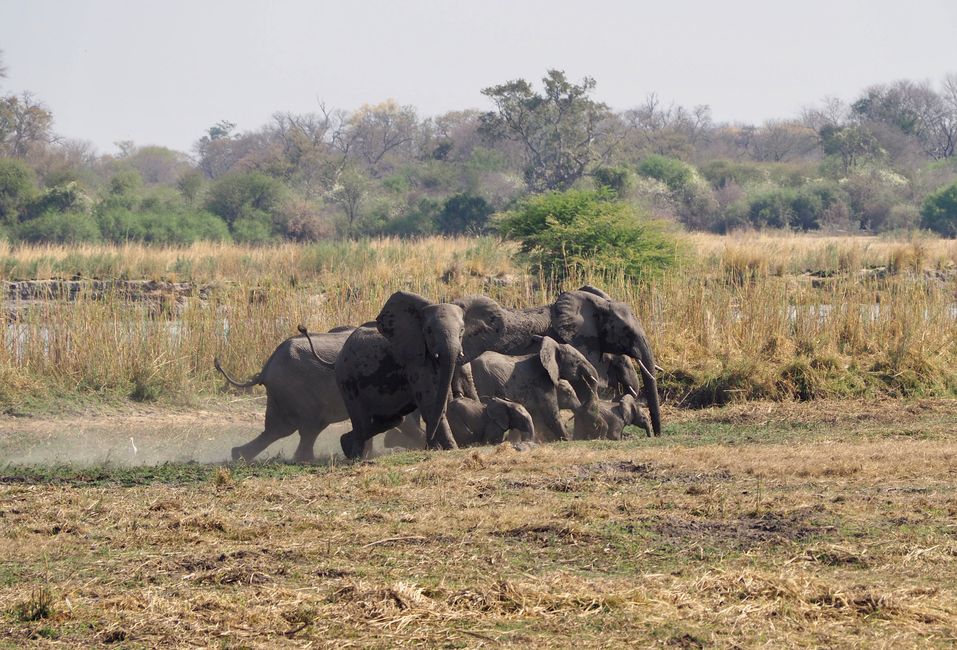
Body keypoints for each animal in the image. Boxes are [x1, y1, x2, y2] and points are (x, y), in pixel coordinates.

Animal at [304, 292, 464, 458]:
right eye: (428, 331)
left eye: (462, 331)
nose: (428, 445)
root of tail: (336, 360)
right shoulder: (413, 360)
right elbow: (430, 402)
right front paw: (451, 449)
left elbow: (439, 401)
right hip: (346, 380)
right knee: (361, 419)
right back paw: (356, 456)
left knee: (392, 419)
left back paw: (346, 443)